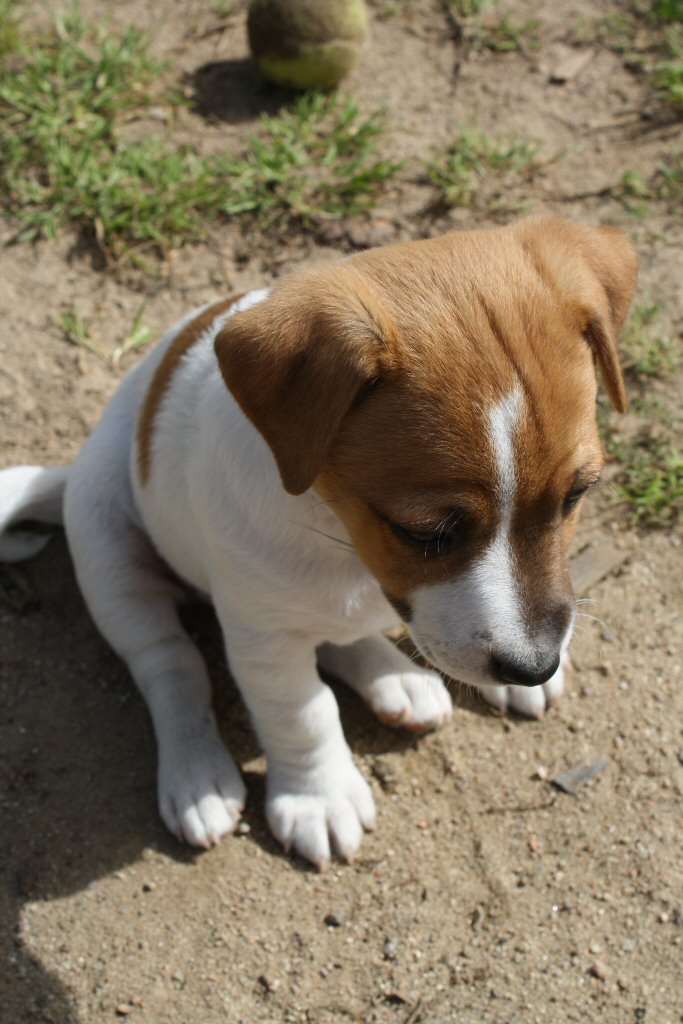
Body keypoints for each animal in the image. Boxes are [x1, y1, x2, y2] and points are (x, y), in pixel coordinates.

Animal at [2, 220, 638, 868]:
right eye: (424, 533)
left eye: (577, 495)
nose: (534, 666)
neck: (336, 534)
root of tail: (70, 474)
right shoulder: (263, 634)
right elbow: (303, 712)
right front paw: (320, 796)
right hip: (110, 555)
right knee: (171, 664)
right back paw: (196, 771)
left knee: (336, 637)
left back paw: (397, 680)